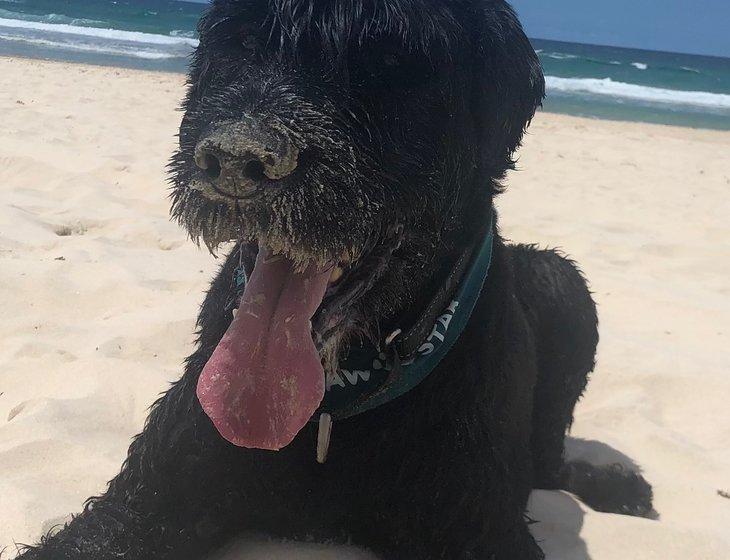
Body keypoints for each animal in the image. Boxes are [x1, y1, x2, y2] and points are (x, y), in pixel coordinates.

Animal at [15, 1, 648, 560]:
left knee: (547, 457)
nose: (236, 160)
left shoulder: (483, 532)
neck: (336, 396)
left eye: (391, 62)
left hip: (562, 285)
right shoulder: (143, 504)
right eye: (243, 41)